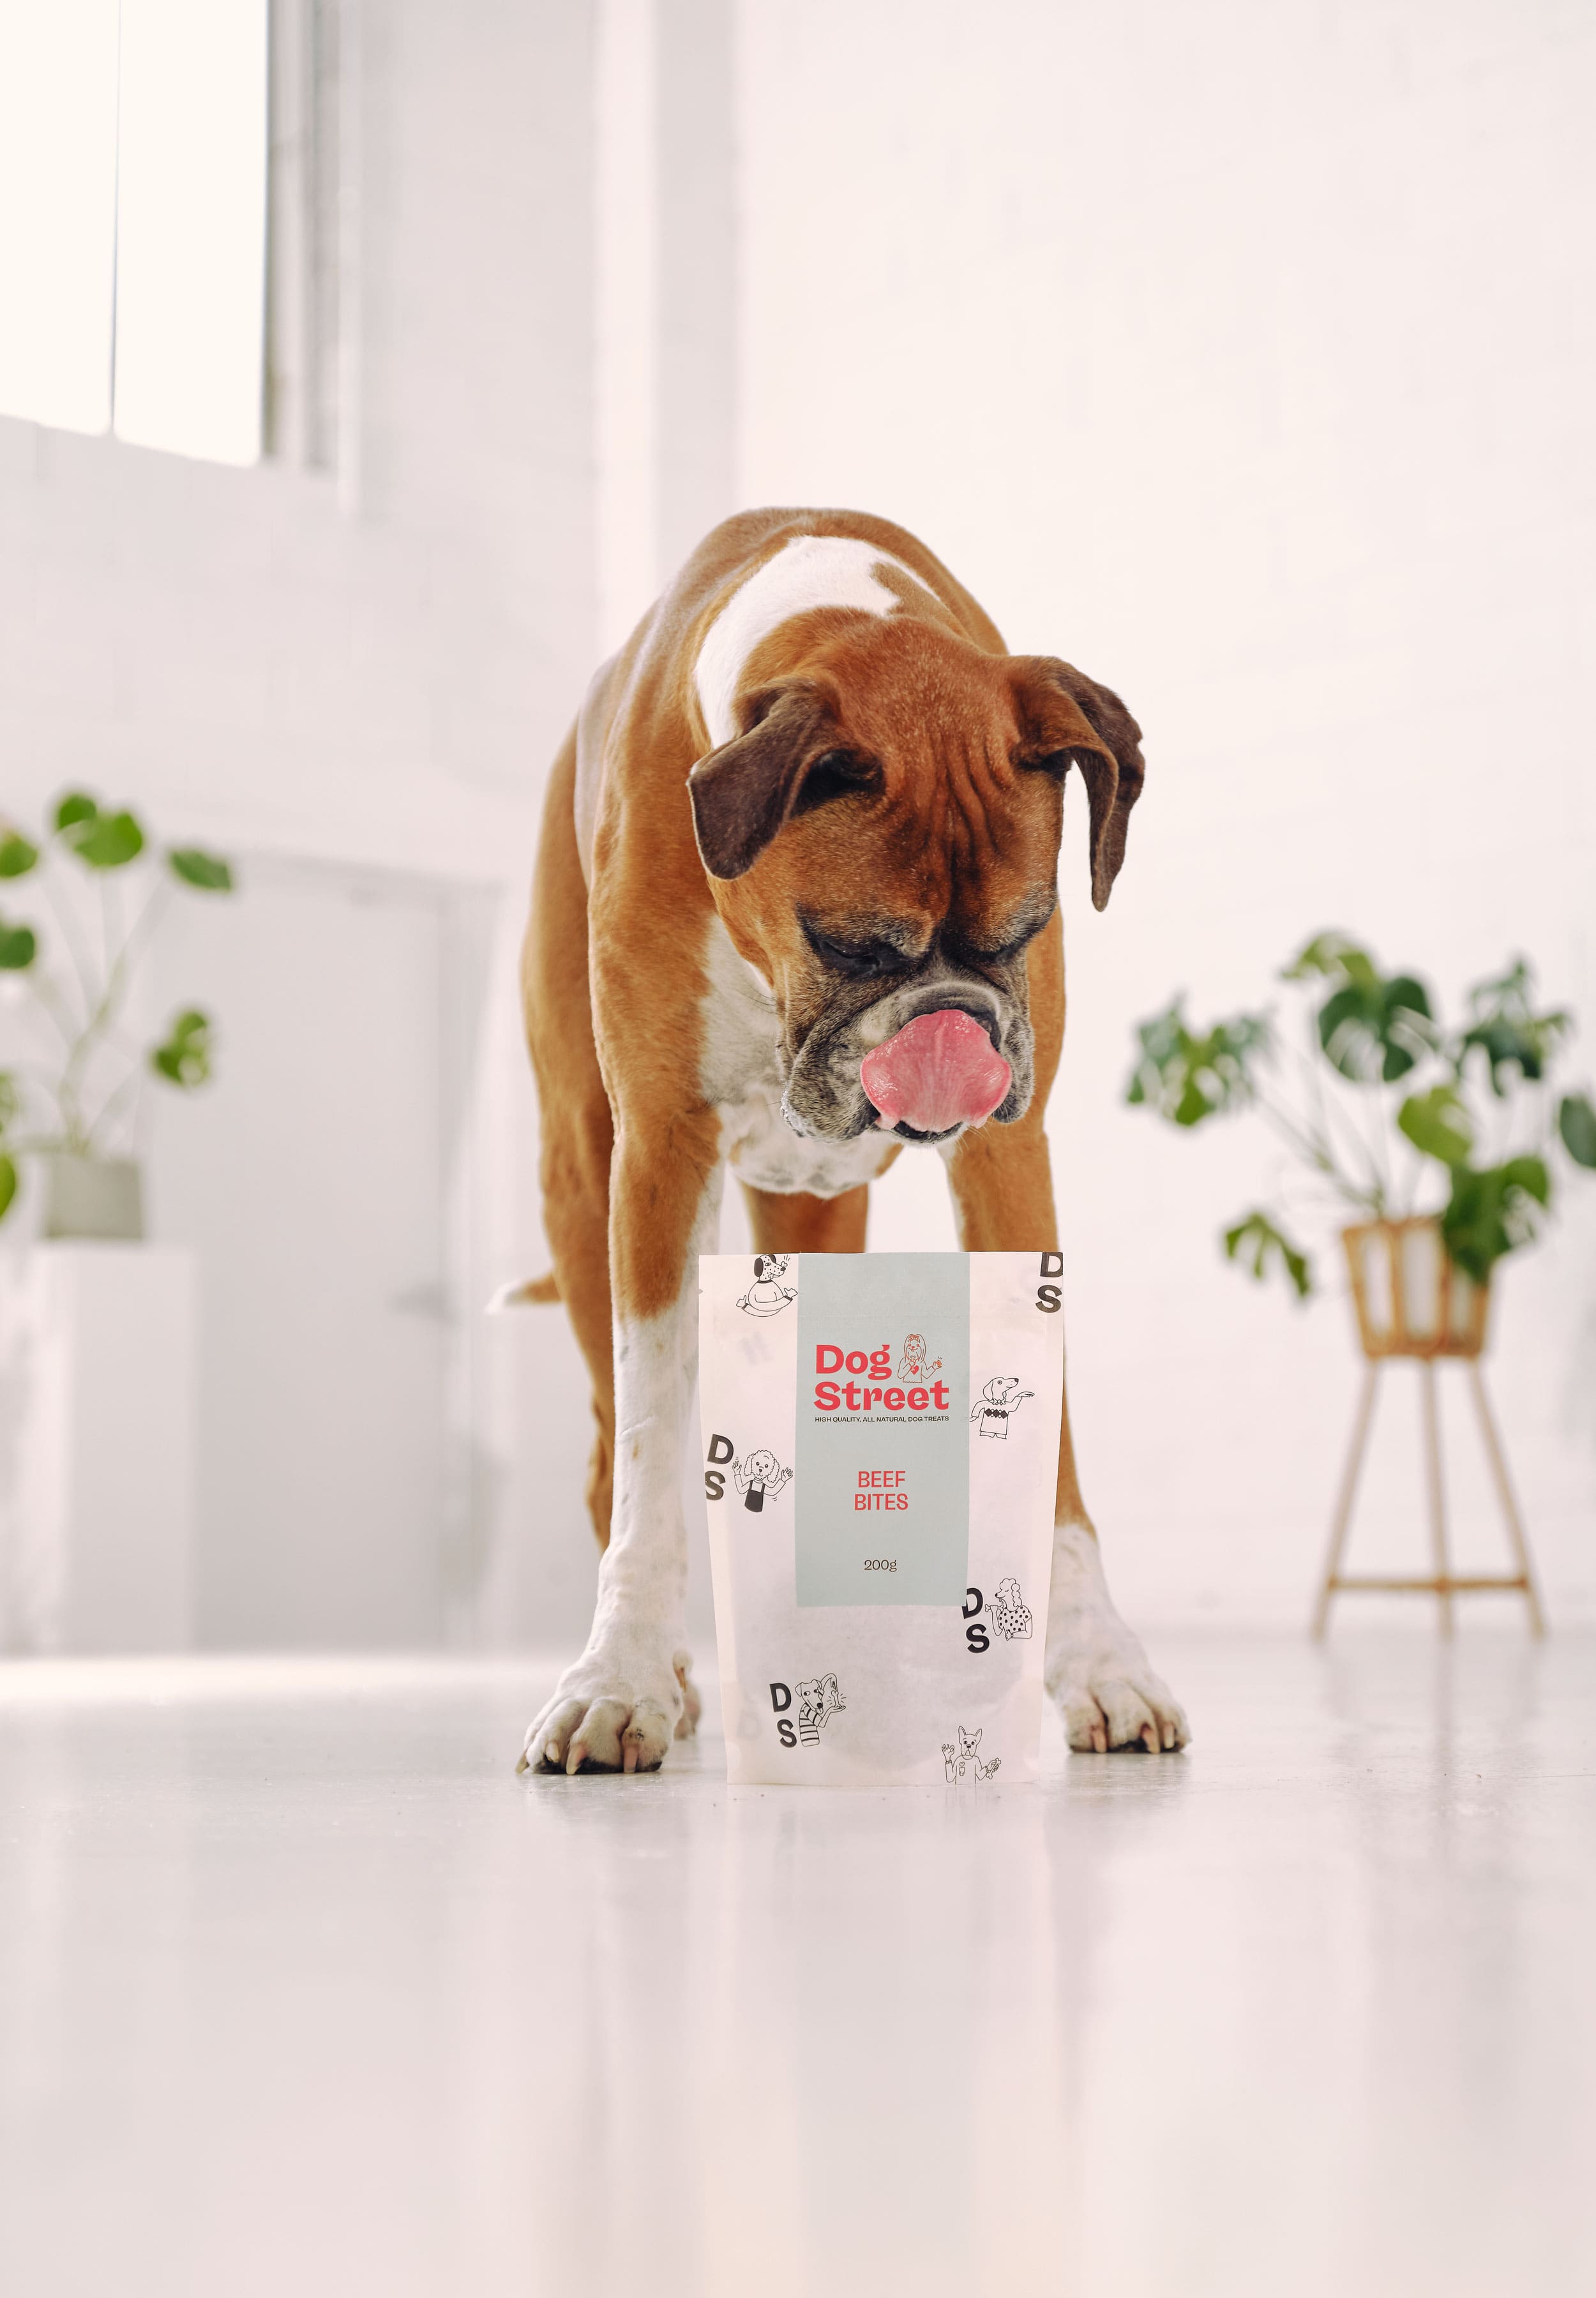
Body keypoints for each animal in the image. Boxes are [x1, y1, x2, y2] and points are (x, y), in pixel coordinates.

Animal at [520, 507, 1196, 1774]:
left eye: (1022, 934)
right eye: (850, 947)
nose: (950, 1030)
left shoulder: (1008, 1162)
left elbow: (1054, 1451)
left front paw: (1099, 1661)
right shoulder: (656, 1159)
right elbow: (650, 1447)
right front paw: (621, 1675)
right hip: (580, 1186)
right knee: (604, 1454)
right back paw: (673, 1671)